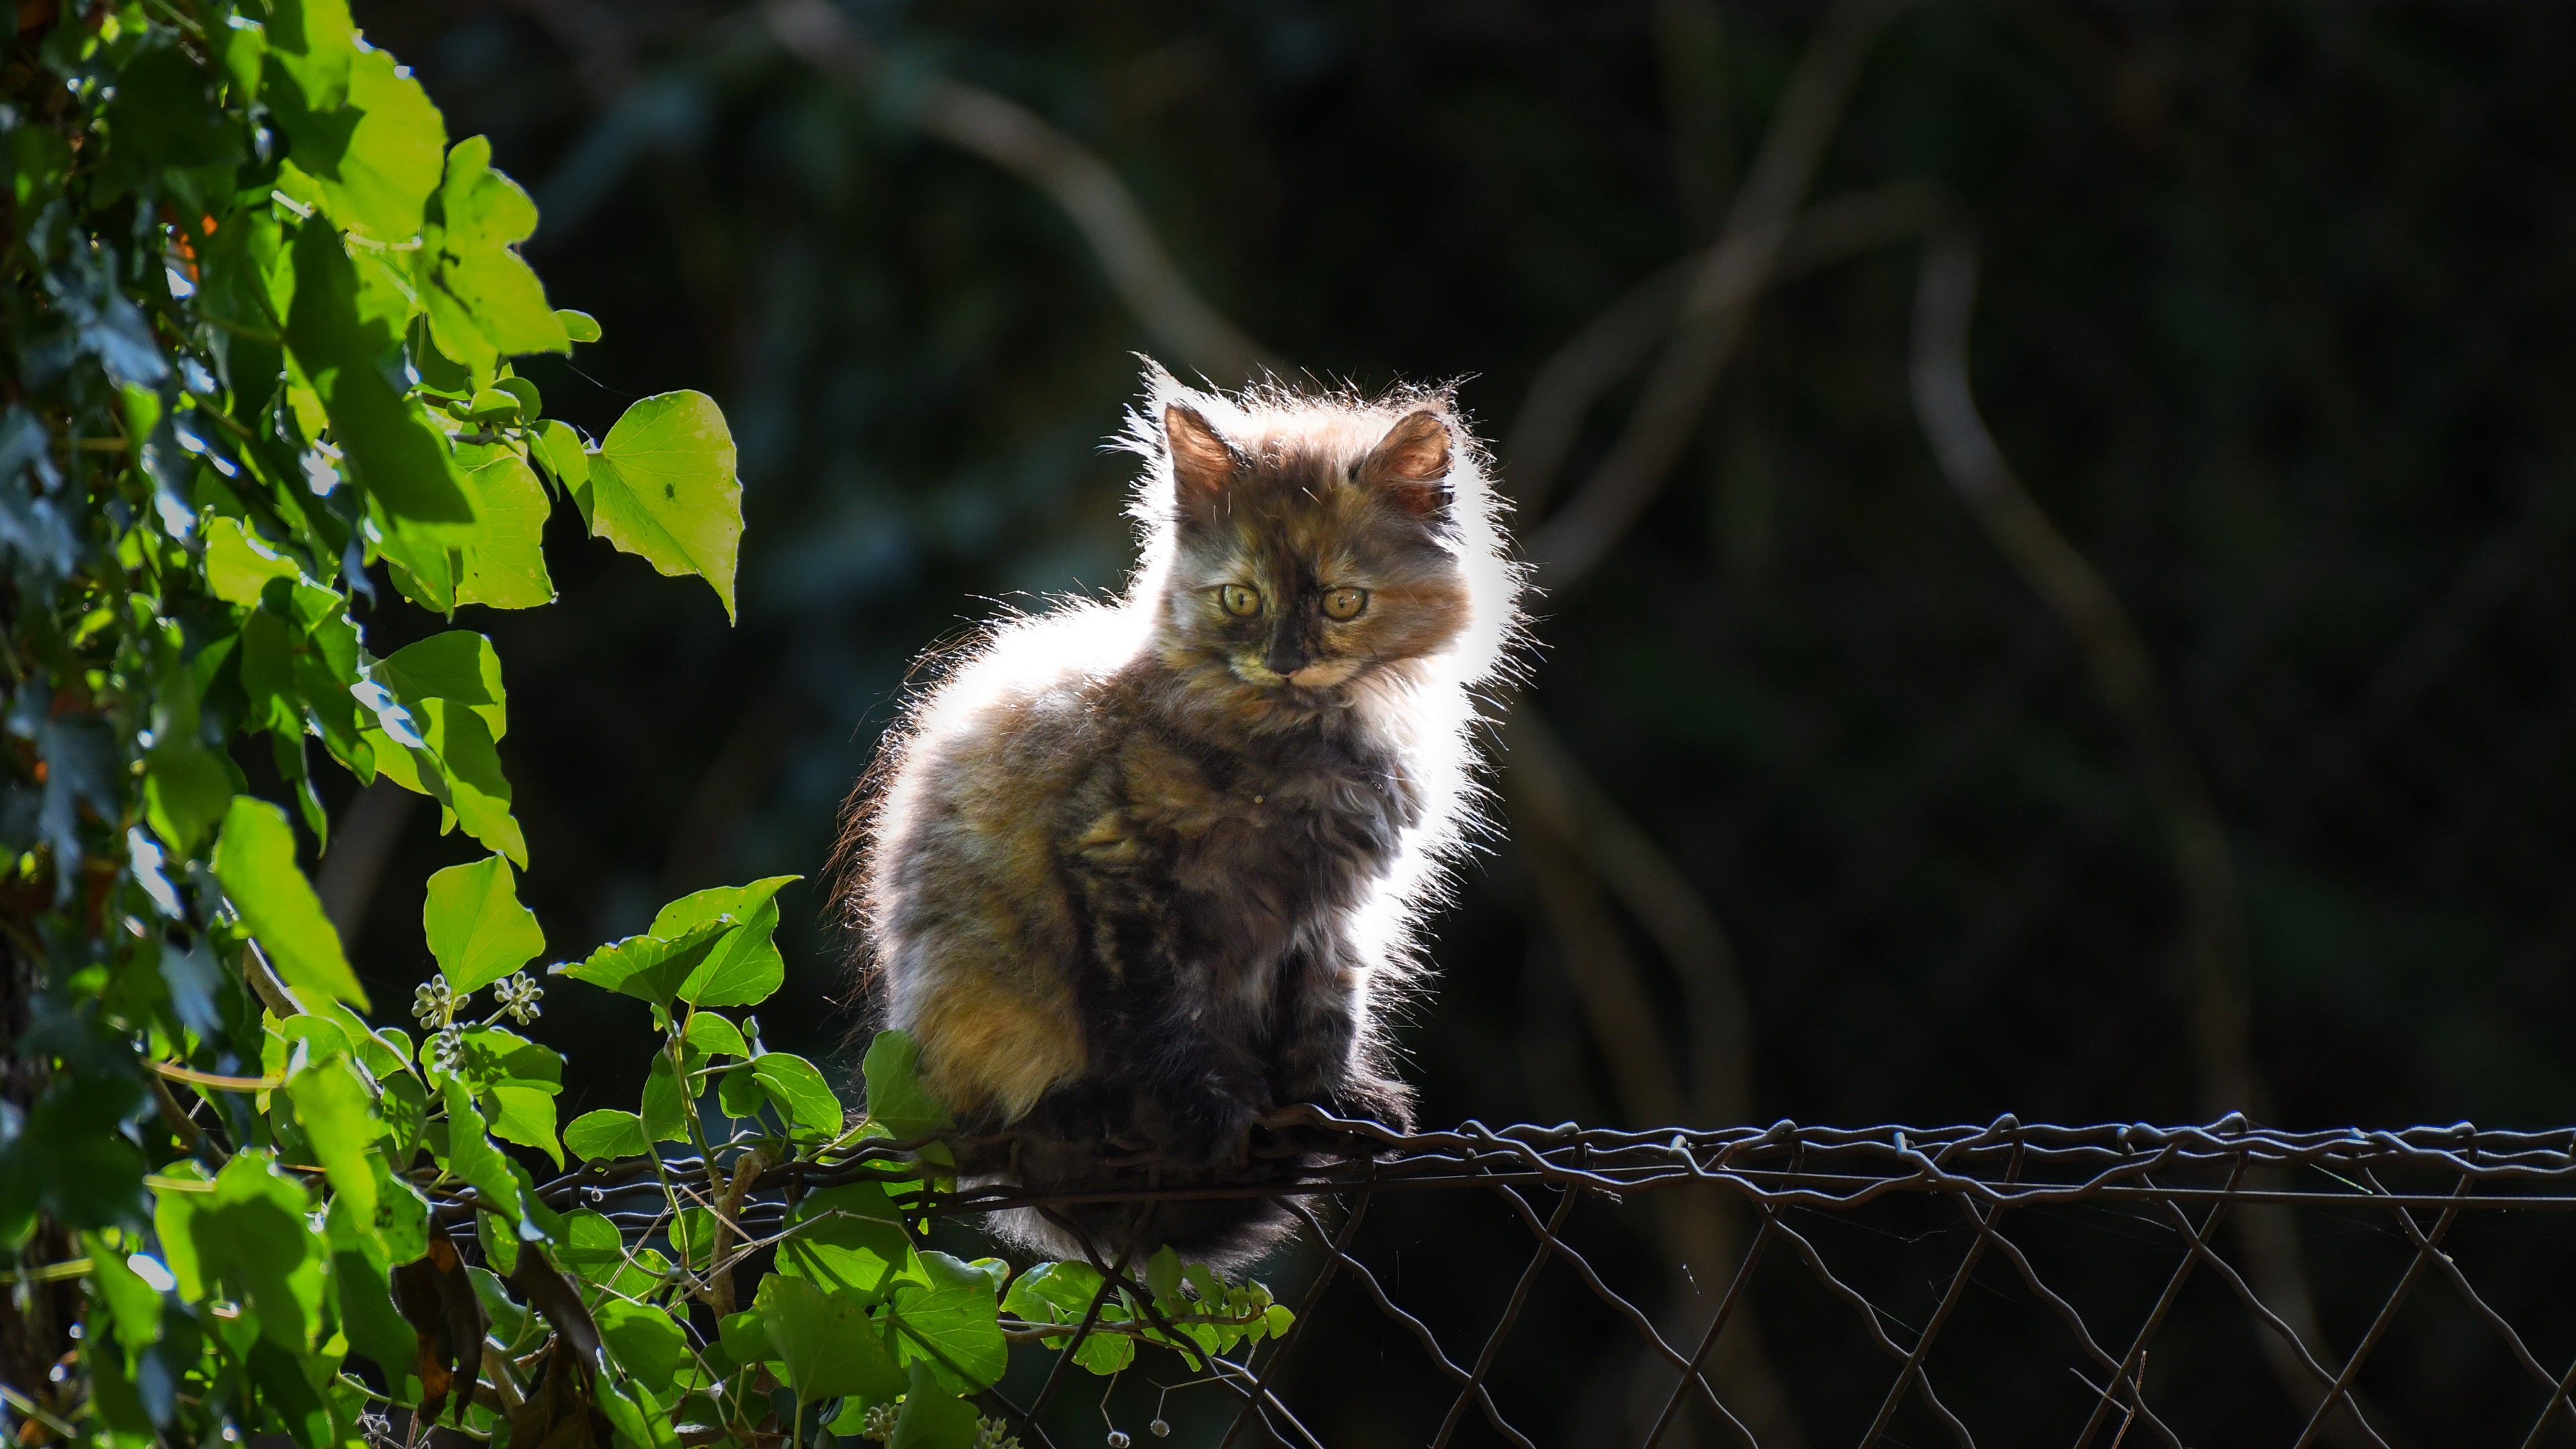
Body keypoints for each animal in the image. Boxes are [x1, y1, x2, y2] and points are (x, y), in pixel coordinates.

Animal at [835, 363, 1514, 1263]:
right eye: (1240, 600)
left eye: (1342, 603)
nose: (1285, 662)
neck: (1303, 740)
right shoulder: (1122, 858)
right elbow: (1164, 1014)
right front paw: (1202, 1118)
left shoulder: (1332, 914)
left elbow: (1323, 1017)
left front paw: (1327, 1109)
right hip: (977, 999)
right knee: (999, 1121)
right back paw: (1076, 1115)